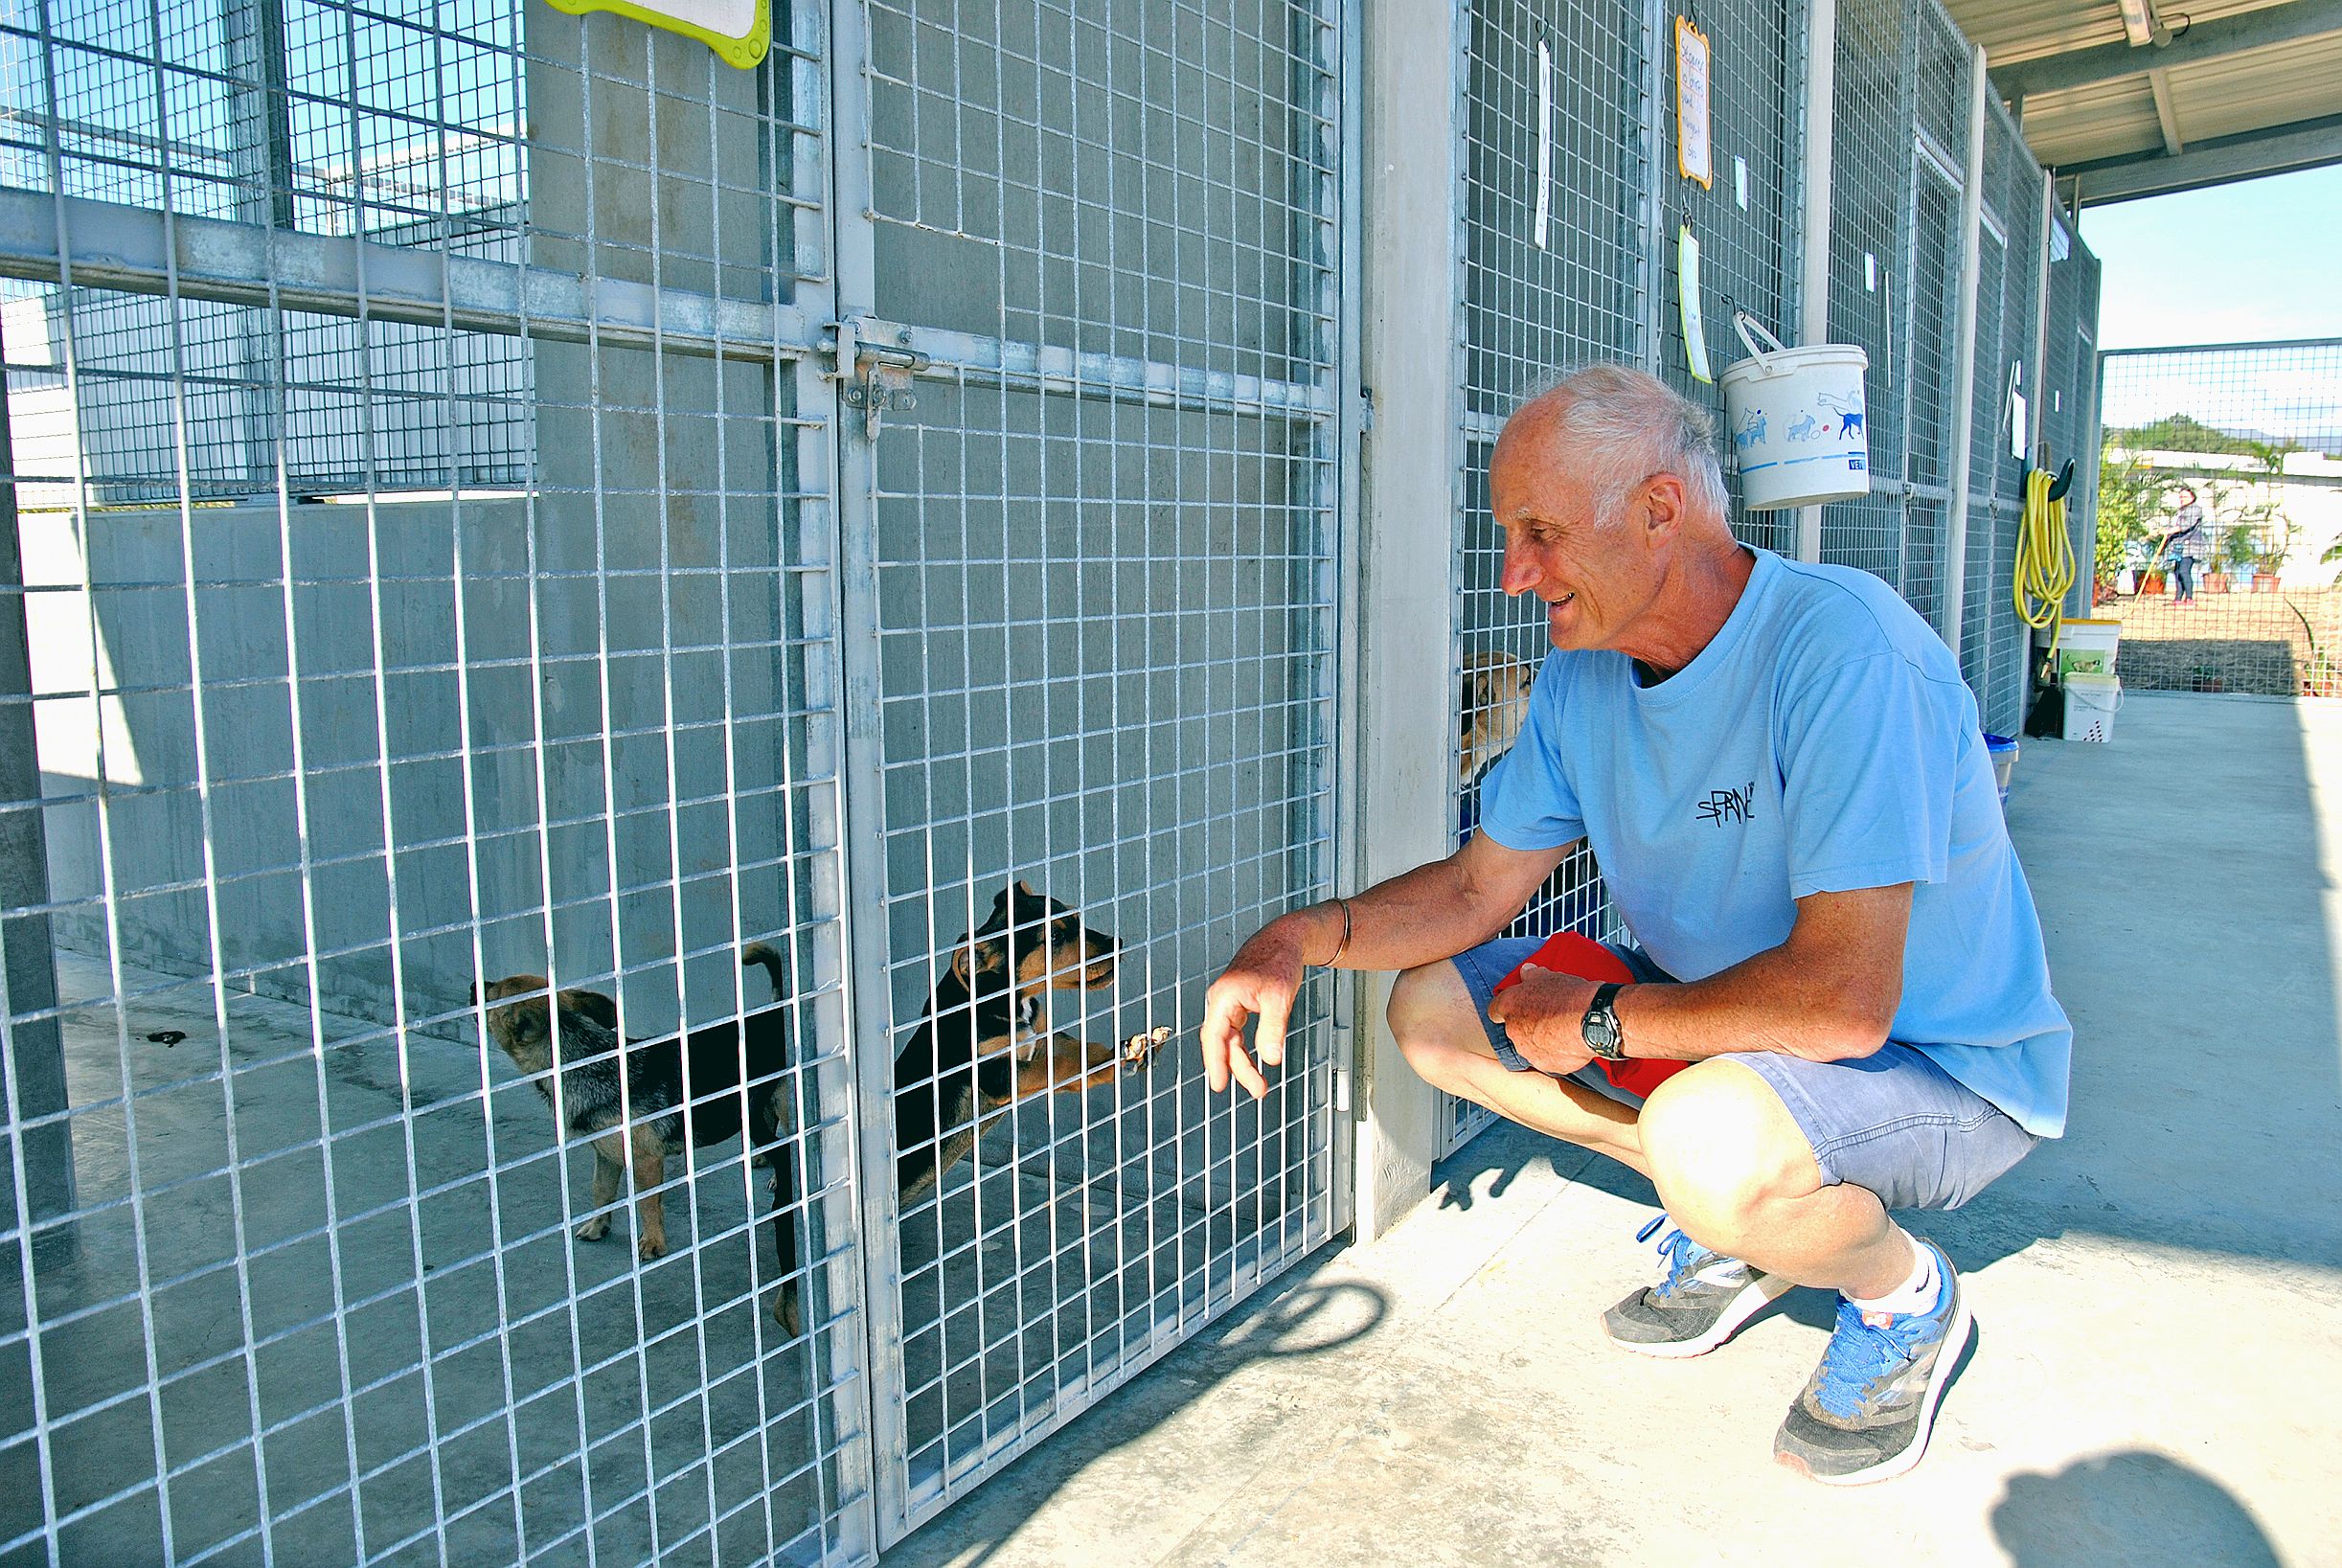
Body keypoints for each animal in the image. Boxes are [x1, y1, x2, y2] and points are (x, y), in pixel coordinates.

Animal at [470, 945, 809, 1338]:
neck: (587, 1058)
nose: (473, 984)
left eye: (491, 996)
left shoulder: (647, 1160)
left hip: (786, 1101)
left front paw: (652, 1243)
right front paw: (598, 1227)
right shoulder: (606, 1156)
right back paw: (762, 1162)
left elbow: (648, 1204)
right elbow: (601, 1192)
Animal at [890, 889, 1166, 1207]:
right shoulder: (997, 1075)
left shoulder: (1041, 1041)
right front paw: (1110, 1060)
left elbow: (1071, 1051)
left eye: (1077, 918)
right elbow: (1060, 1066)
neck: (1009, 1003)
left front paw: (1124, 1053)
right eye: (1055, 937)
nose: (1116, 943)